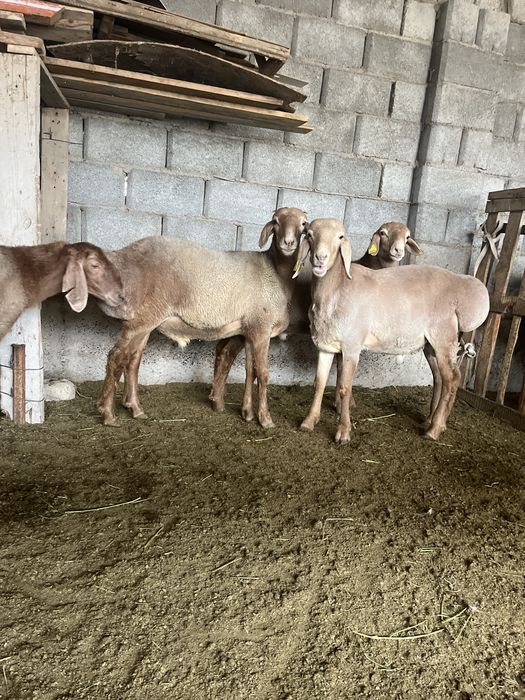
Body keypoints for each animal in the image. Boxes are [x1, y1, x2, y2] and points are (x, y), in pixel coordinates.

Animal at [81, 217, 307, 428]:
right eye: (276, 222)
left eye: (304, 224)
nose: (288, 243)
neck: (274, 273)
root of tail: (122, 255)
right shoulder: (260, 328)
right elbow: (261, 373)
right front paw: (264, 419)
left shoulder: (249, 330)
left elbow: (244, 367)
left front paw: (243, 411)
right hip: (142, 319)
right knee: (117, 357)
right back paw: (107, 413)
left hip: (144, 320)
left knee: (132, 360)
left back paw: (134, 408)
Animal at [297, 218, 489, 443]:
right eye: (310, 235)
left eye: (340, 237)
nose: (320, 258)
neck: (337, 287)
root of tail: (459, 286)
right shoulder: (326, 345)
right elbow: (318, 384)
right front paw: (309, 422)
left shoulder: (352, 346)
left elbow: (345, 388)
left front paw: (343, 432)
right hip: (431, 345)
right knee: (441, 378)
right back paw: (432, 422)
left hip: (443, 337)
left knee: (451, 379)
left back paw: (434, 430)